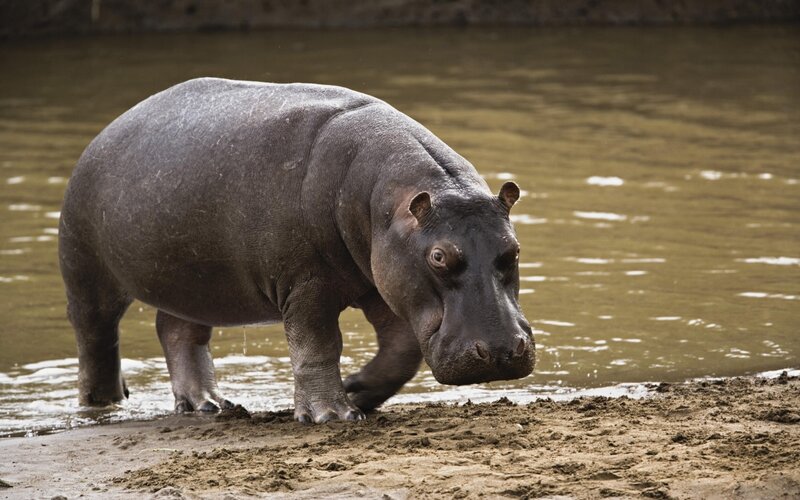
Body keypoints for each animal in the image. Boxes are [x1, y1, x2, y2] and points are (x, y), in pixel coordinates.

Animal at [58, 77, 535, 423]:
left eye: (513, 249)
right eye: (439, 256)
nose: (499, 353)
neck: (387, 201)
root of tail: (106, 131)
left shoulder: (383, 282)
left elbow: (402, 351)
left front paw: (358, 391)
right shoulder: (305, 285)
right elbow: (318, 345)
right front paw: (333, 415)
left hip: (191, 281)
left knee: (177, 332)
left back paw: (208, 405)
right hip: (86, 272)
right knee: (96, 340)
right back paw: (102, 405)